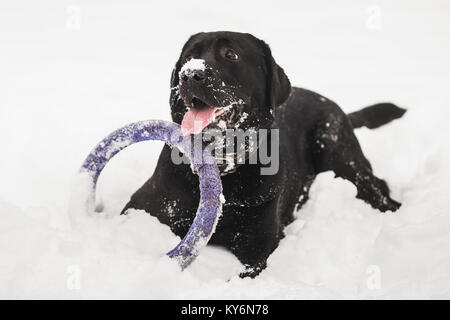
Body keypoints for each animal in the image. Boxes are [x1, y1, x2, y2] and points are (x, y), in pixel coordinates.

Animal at [121, 31, 406, 278]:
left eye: (231, 54)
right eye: (189, 56)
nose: (191, 74)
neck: (223, 168)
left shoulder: (258, 247)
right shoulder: (142, 207)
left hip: (336, 150)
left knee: (377, 188)